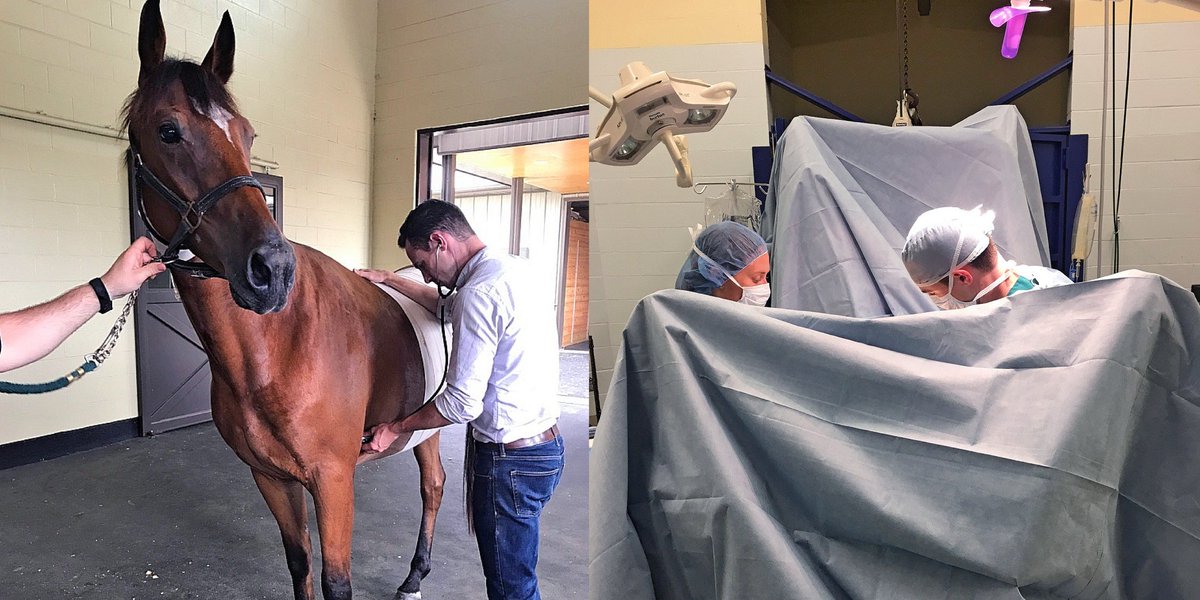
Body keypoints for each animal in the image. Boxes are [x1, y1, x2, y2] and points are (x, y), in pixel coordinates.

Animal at [123, 2, 445, 599]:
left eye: (247, 135)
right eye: (168, 131)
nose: (271, 271)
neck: (278, 351)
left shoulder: (334, 479)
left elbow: (337, 581)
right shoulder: (271, 478)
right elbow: (300, 564)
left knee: (434, 488)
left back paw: (415, 575)